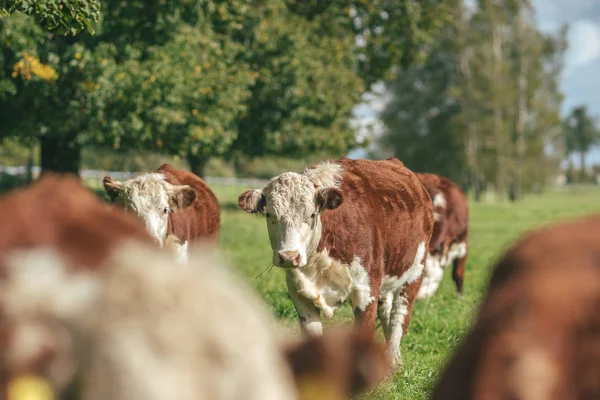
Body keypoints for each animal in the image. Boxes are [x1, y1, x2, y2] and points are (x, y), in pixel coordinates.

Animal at [237, 157, 434, 368]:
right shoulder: (299, 295)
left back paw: (391, 360)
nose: (289, 256)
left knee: (399, 317)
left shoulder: (366, 292)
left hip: (414, 273)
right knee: (387, 312)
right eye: (269, 215)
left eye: (312, 215)